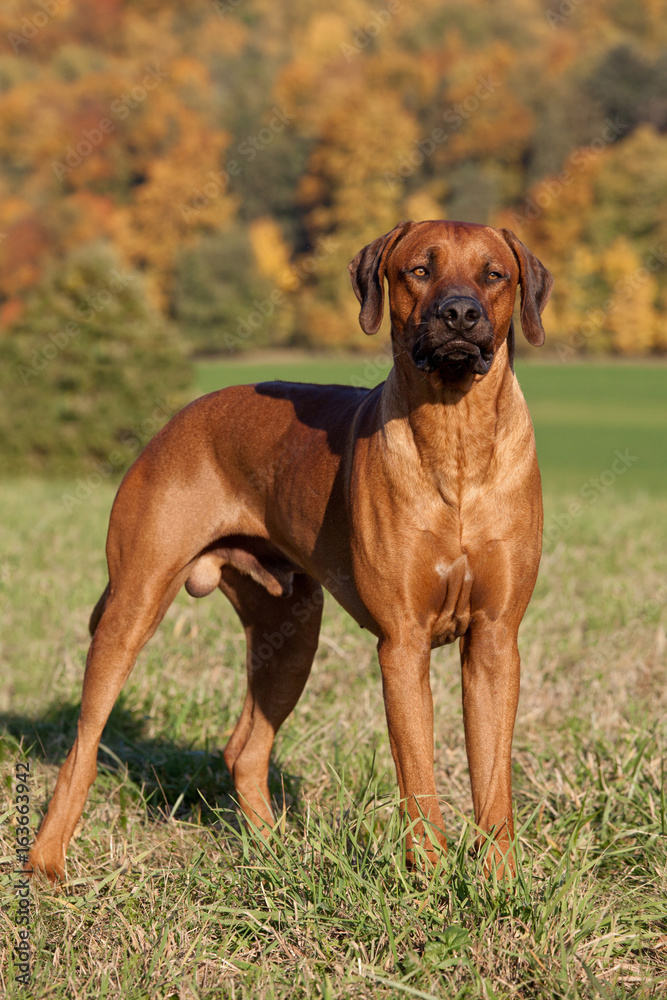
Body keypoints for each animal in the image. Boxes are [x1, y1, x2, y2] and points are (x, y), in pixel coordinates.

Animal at [30, 223, 552, 880]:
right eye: (418, 270)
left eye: (493, 275)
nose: (459, 313)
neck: (456, 440)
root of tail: (177, 420)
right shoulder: (402, 643)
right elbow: (418, 776)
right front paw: (430, 877)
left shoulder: (495, 638)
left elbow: (493, 779)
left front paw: (498, 881)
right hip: (134, 604)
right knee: (84, 745)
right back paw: (47, 865)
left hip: (291, 631)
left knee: (244, 750)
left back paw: (272, 854)